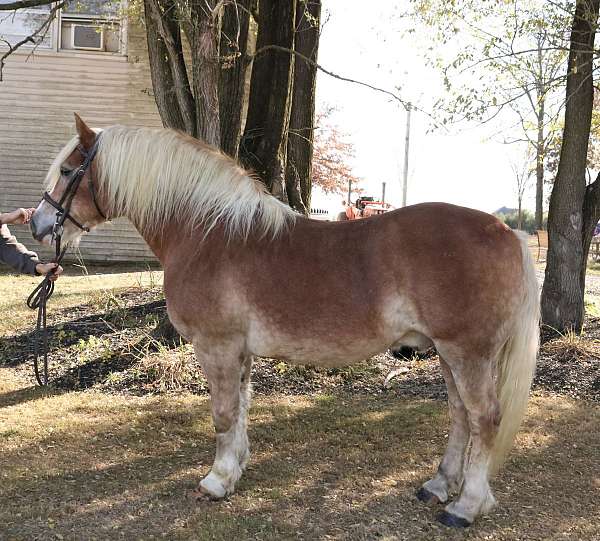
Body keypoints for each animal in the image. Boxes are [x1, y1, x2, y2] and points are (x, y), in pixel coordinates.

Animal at [31, 115, 540, 528]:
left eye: (67, 171)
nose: (37, 225)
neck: (206, 233)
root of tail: (506, 231)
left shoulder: (216, 345)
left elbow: (223, 413)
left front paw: (216, 481)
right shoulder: (238, 350)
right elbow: (240, 408)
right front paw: (234, 469)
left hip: (467, 352)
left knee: (484, 418)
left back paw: (466, 505)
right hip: (449, 354)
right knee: (460, 415)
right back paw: (438, 486)